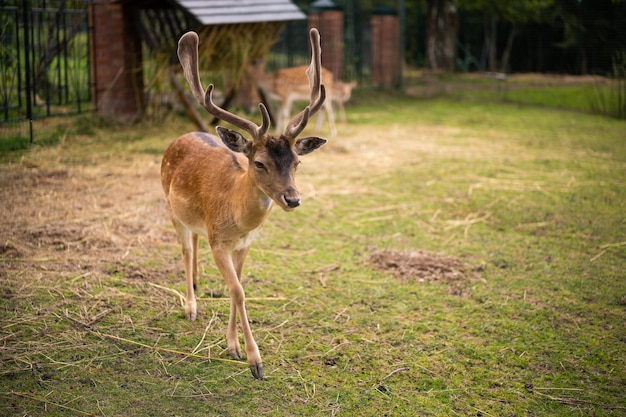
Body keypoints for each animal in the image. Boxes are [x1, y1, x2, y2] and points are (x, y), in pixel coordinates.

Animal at [160, 28, 326, 380]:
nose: (293, 198)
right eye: (260, 163)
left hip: (195, 220)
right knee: (186, 248)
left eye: (297, 162)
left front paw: (232, 346)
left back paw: (197, 283)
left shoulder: (245, 244)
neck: (237, 218)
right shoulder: (219, 242)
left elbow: (236, 288)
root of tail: (183, 135)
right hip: (170, 208)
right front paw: (254, 361)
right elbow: (238, 291)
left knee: (195, 241)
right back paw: (190, 305)